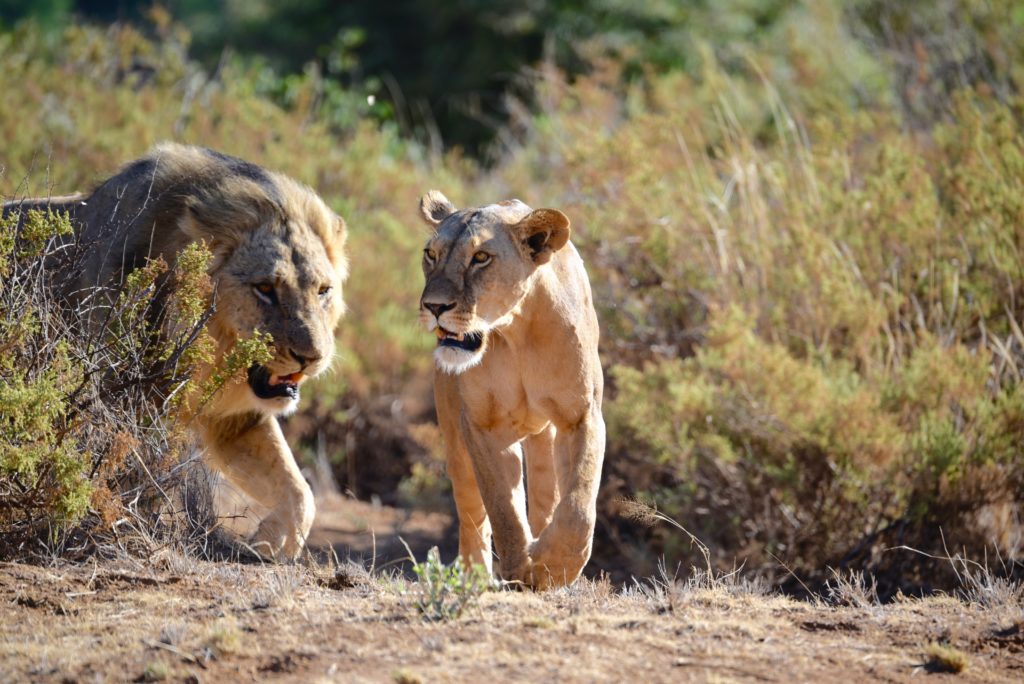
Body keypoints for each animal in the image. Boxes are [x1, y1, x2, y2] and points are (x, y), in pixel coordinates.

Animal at [3, 143, 348, 559]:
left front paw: (273, 541)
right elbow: (129, 475)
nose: (311, 357)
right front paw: (122, 530)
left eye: (323, 291)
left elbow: (297, 487)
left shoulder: (236, 418)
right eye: (265, 288)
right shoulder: (125, 401)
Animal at [417, 190, 606, 589]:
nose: (433, 306)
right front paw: (522, 567)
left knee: (548, 497)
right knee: (472, 514)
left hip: (544, 437)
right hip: (456, 440)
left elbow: (578, 504)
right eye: (431, 254)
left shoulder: (580, 416)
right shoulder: (481, 425)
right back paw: (474, 578)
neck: (516, 329)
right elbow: (503, 507)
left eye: (481, 257)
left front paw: (555, 566)